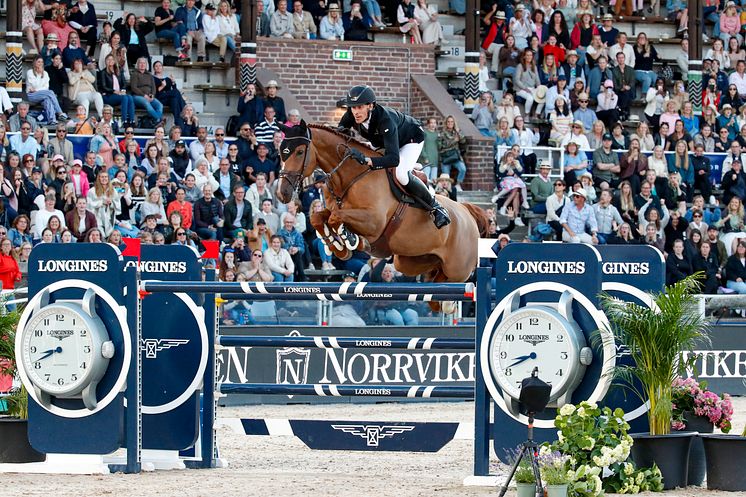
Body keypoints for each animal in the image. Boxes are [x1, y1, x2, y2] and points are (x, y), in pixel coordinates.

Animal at [274, 119, 488, 290]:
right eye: (280, 152)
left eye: (299, 152)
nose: (282, 193)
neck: (350, 177)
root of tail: (467, 211)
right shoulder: (331, 210)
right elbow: (318, 217)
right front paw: (338, 245)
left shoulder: (373, 222)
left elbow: (336, 218)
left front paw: (350, 240)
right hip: (409, 261)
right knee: (433, 274)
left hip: (458, 270)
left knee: (453, 279)